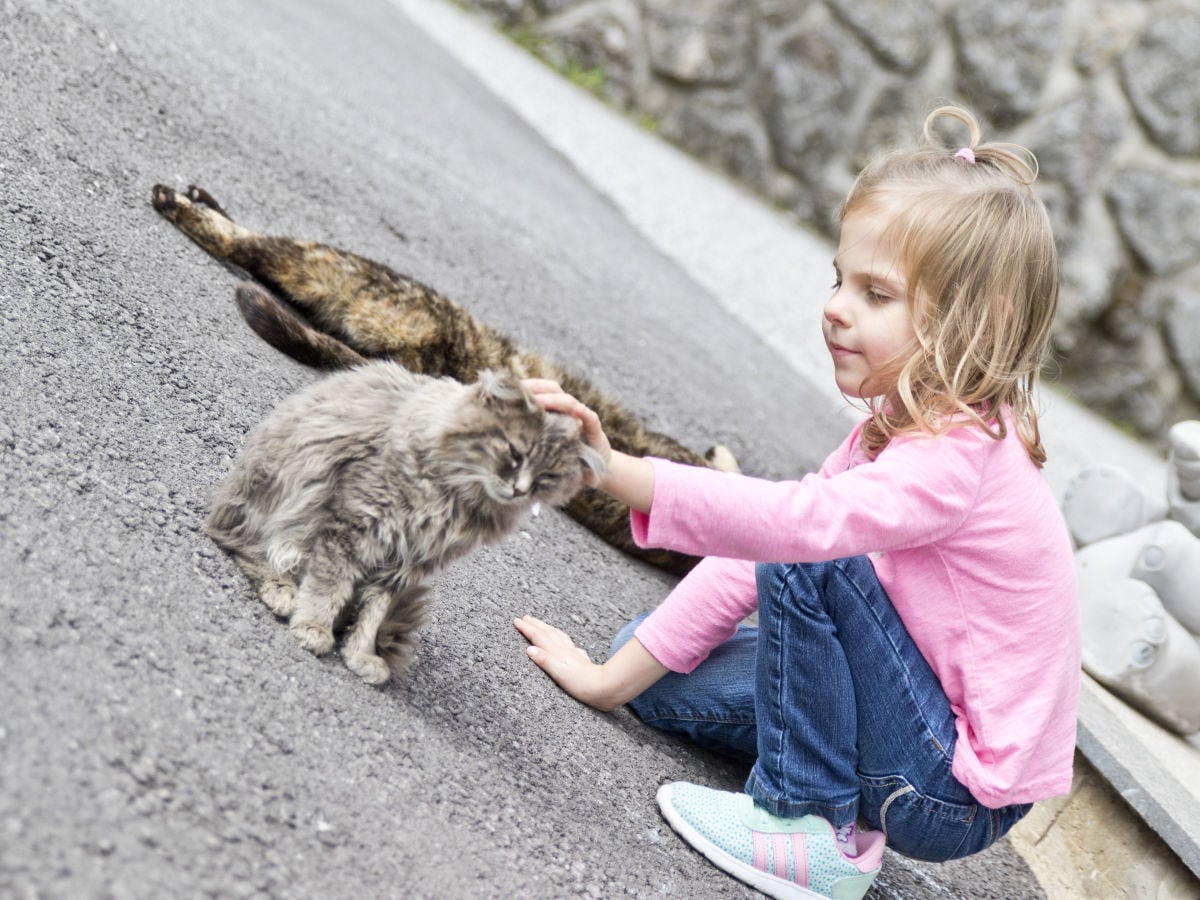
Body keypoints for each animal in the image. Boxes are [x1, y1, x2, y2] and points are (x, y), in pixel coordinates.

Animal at [206, 362, 604, 686]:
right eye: (515, 453)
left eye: (547, 477)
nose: (520, 489)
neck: (458, 498)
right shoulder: (353, 525)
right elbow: (328, 587)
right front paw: (313, 627)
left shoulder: (406, 562)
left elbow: (373, 614)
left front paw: (359, 654)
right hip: (270, 505)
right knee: (238, 543)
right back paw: (282, 591)